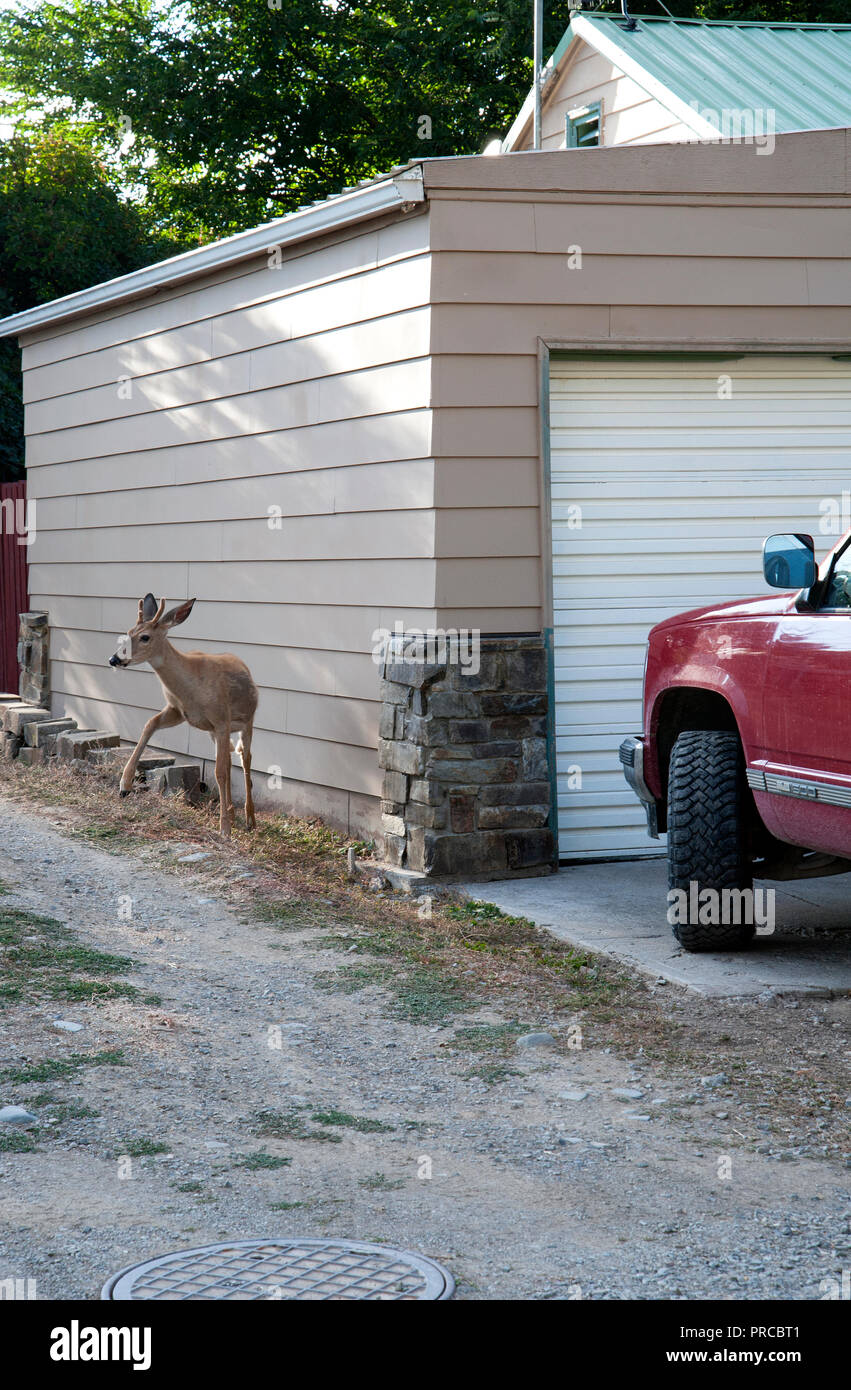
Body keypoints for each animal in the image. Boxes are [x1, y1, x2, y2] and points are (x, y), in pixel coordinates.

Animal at [107, 594, 257, 834]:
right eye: (128, 632)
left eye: (145, 637)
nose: (114, 659)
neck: (191, 686)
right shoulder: (179, 711)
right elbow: (149, 724)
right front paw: (124, 785)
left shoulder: (221, 719)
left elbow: (220, 772)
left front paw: (224, 829)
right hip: (214, 731)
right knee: (229, 760)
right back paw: (233, 814)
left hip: (246, 721)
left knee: (245, 758)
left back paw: (249, 818)